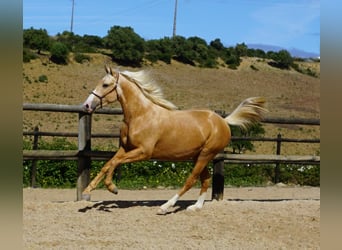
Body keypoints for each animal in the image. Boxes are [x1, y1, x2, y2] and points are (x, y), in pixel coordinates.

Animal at [81, 65, 268, 214]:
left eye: (105, 85)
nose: (87, 105)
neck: (140, 115)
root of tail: (223, 121)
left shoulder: (143, 152)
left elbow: (114, 163)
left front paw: (112, 188)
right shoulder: (125, 148)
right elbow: (108, 164)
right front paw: (87, 190)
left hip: (206, 154)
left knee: (191, 180)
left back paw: (165, 206)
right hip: (198, 156)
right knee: (205, 179)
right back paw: (195, 207)